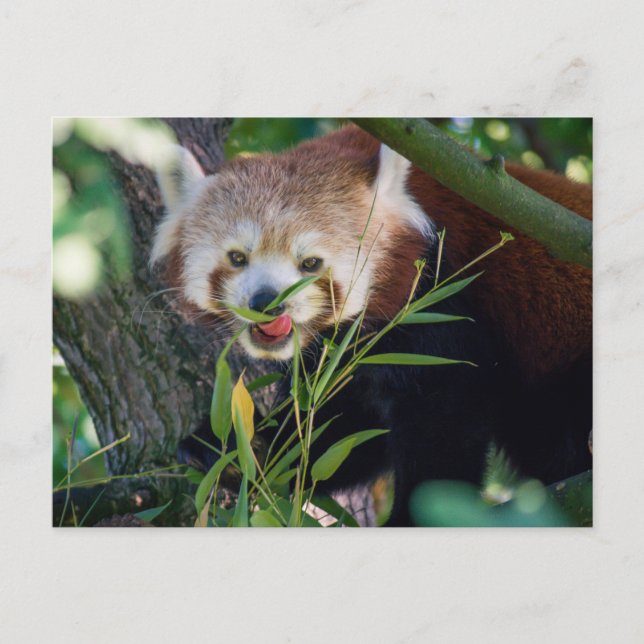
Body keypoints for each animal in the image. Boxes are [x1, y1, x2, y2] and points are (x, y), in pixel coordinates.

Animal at [151, 123, 592, 526]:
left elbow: (445, 419)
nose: (268, 303)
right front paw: (240, 449)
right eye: (238, 257)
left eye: (310, 263)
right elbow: (338, 435)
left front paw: (416, 516)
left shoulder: (440, 301)